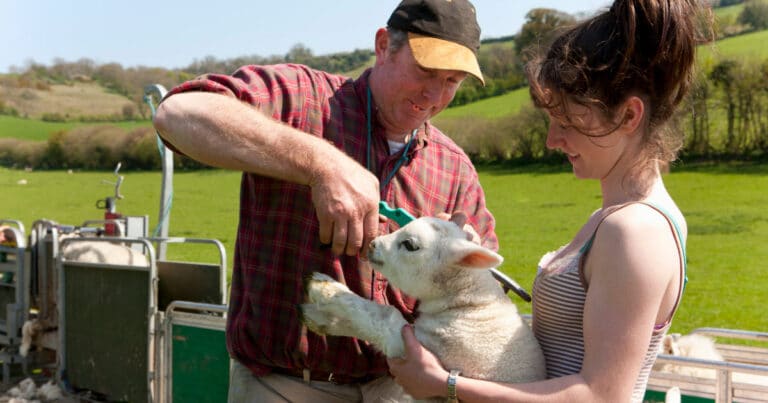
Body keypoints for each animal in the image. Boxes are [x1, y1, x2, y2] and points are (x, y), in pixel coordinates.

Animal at [300, 216, 544, 402]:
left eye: (410, 245)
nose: (372, 244)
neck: (469, 304)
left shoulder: (422, 348)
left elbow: (383, 316)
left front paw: (326, 289)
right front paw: (318, 317)